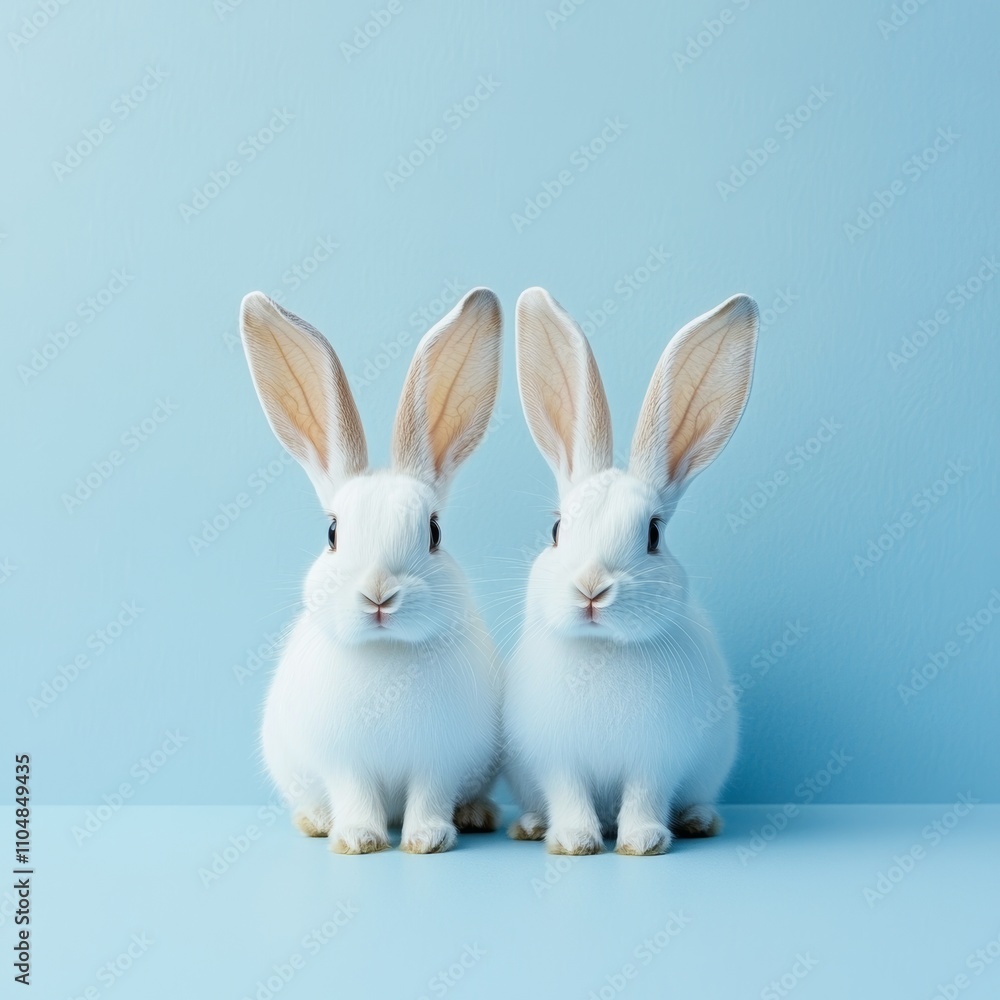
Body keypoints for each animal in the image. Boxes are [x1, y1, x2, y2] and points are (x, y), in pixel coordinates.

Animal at [239, 287, 504, 854]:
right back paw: (317, 822)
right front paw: (359, 839)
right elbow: (355, 794)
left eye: (434, 533)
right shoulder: (344, 762)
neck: (387, 652)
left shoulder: (441, 760)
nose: (380, 595)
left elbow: (430, 795)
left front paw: (427, 839)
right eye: (333, 533)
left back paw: (476, 815)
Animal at [504, 287, 759, 856]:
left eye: (654, 535)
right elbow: (569, 794)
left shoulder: (657, 758)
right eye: (557, 530)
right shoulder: (555, 758)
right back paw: (530, 826)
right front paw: (575, 840)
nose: (591, 589)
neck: (603, 650)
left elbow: (644, 795)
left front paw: (641, 842)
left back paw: (697, 821)